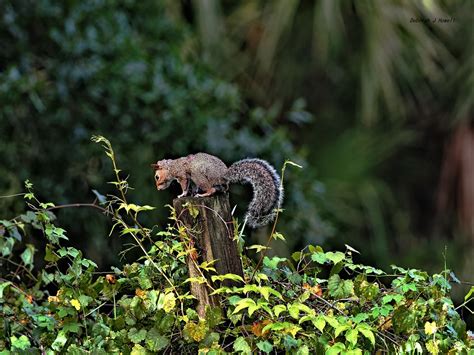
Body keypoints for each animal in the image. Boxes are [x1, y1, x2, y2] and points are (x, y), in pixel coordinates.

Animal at [152, 153, 284, 228]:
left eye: (157, 177)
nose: (158, 189)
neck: (172, 166)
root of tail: (224, 175)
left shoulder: (183, 175)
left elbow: (185, 186)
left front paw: (182, 194)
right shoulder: (191, 180)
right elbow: (192, 187)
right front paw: (192, 193)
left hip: (198, 175)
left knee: (211, 190)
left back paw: (203, 195)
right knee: (221, 189)